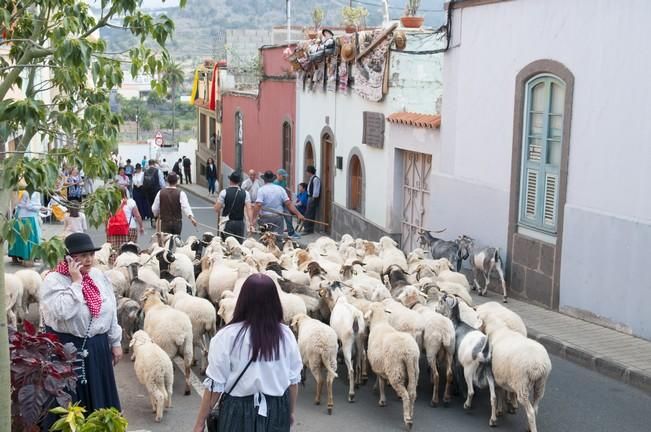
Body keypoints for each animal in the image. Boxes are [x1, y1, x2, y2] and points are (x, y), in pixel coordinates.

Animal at [364, 302, 420, 430]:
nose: (365, 320)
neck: (379, 322)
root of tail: (408, 352)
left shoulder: (379, 366)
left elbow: (381, 383)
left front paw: (382, 400)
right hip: (414, 370)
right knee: (412, 393)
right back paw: (411, 414)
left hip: (396, 371)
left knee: (405, 395)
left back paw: (407, 419)